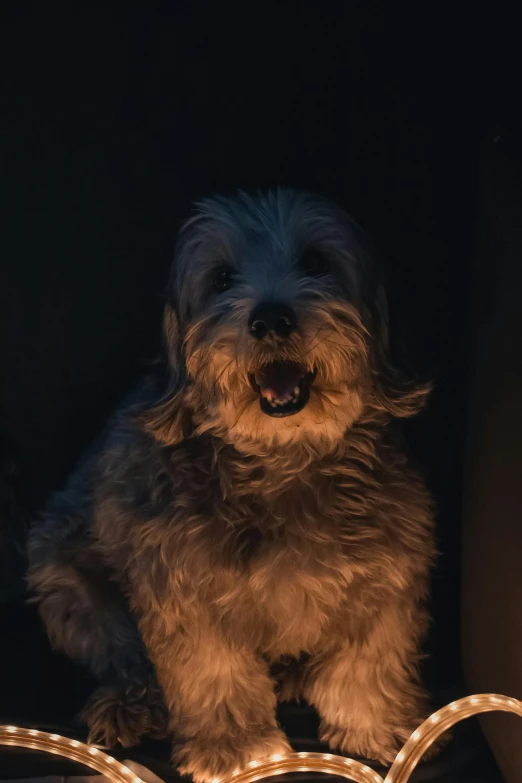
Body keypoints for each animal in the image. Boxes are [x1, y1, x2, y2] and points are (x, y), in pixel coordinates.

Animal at [27, 187, 434, 780]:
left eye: (317, 261)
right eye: (220, 279)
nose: (271, 318)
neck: (284, 462)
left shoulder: (387, 572)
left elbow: (368, 661)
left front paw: (374, 727)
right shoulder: (184, 590)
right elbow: (213, 671)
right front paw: (236, 750)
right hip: (62, 573)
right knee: (122, 655)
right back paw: (131, 702)